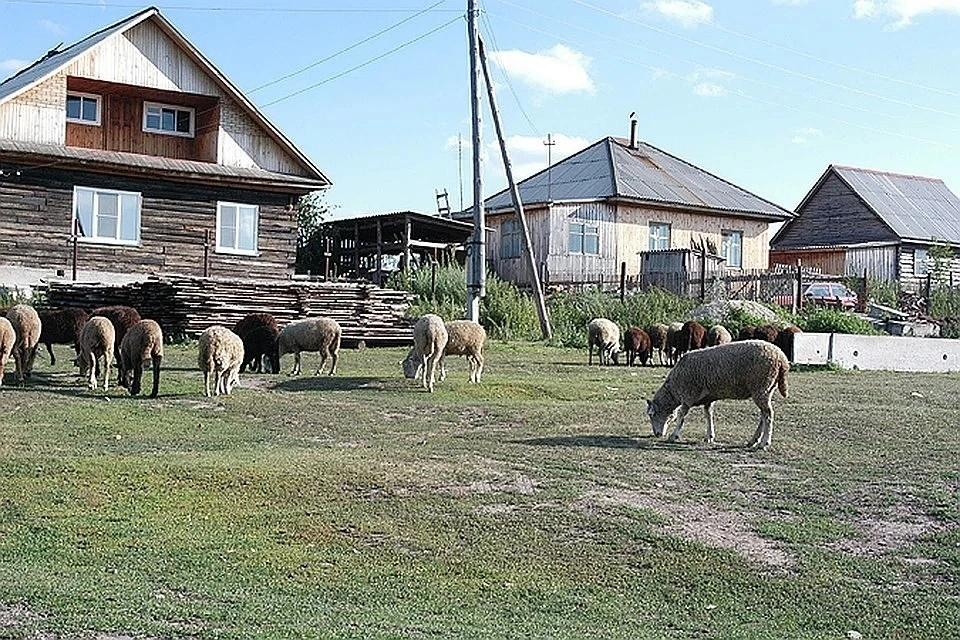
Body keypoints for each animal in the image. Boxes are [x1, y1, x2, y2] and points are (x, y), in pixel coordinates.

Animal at [644, 340, 796, 450]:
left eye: (652, 415)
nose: (657, 434)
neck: (674, 390)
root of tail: (782, 359)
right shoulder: (708, 399)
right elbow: (708, 414)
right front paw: (709, 436)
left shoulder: (688, 395)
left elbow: (681, 415)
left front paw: (673, 435)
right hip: (767, 389)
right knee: (763, 415)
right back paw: (753, 440)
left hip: (761, 387)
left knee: (768, 414)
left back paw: (764, 442)